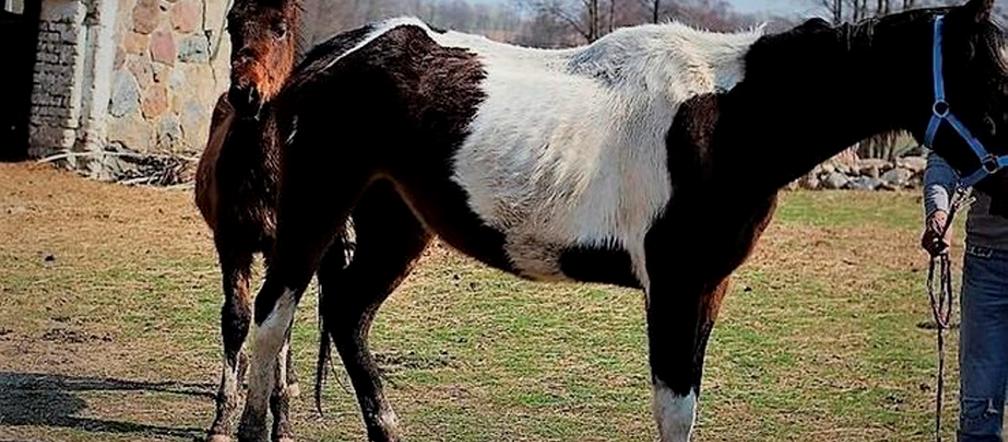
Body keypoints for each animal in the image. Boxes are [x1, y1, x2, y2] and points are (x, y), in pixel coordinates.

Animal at [228, 1, 1008, 439]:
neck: (728, 121)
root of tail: (331, 54)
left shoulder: (707, 289)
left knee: (348, 316)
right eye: (994, 77)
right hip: (314, 211)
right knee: (271, 320)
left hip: (395, 225)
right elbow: (674, 409)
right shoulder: (676, 286)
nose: (1007, 174)